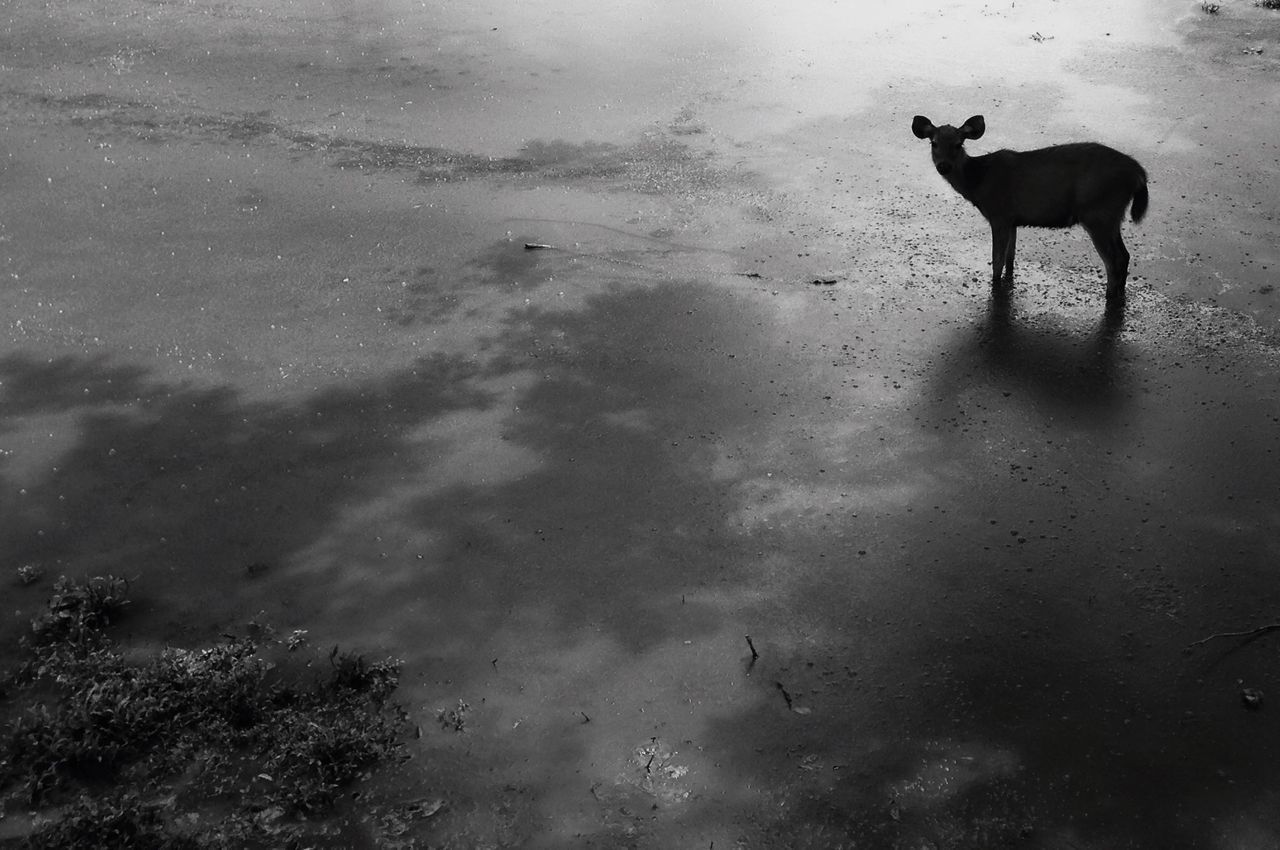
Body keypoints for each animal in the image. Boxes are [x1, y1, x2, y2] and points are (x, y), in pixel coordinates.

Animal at [911, 113, 1152, 302]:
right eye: (933, 143)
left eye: (958, 144)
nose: (944, 166)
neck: (978, 181)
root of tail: (1139, 173)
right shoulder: (1012, 220)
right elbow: (1010, 258)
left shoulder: (999, 214)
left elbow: (997, 261)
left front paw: (995, 287)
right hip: (1111, 216)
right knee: (1125, 255)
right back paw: (1120, 294)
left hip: (1097, 212)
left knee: (1113, 261)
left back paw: (1110, 297)